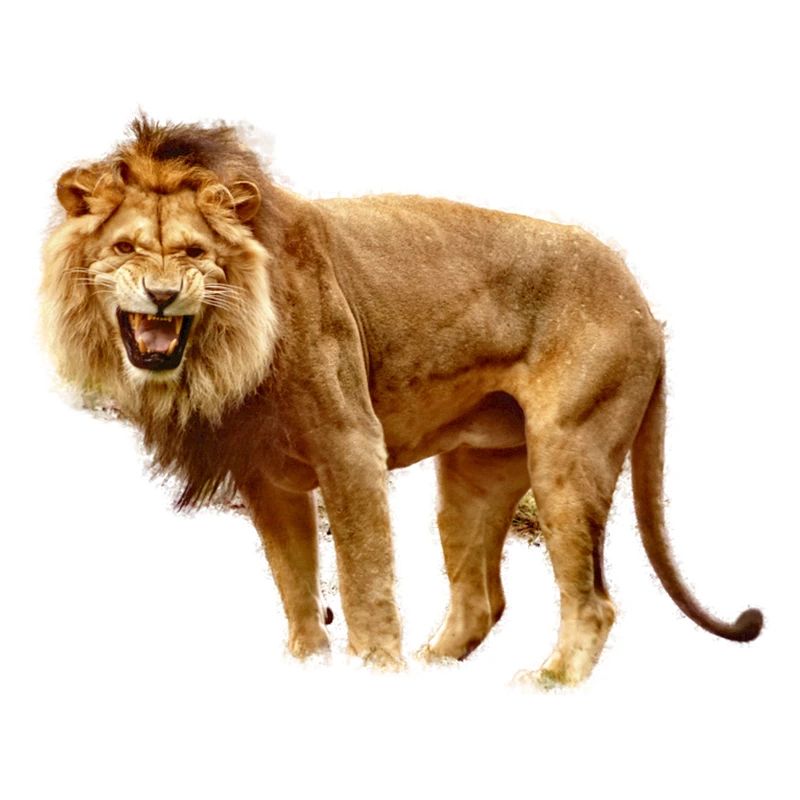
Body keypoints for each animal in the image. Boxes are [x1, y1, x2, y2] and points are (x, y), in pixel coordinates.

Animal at [41, 118, 762, 686]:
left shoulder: (350, 446)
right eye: (125, 248)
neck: (223, 351)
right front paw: (311, 666)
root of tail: (644, 306)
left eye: (195, 252)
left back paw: (547, 681)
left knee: (591, 602)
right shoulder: (266, 477)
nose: (163, 296)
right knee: (481, 602)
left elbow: (364, 581)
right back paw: (432, 670)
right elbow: (296, 585)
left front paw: (374, 668)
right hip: (474, 477)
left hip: (569, 454)